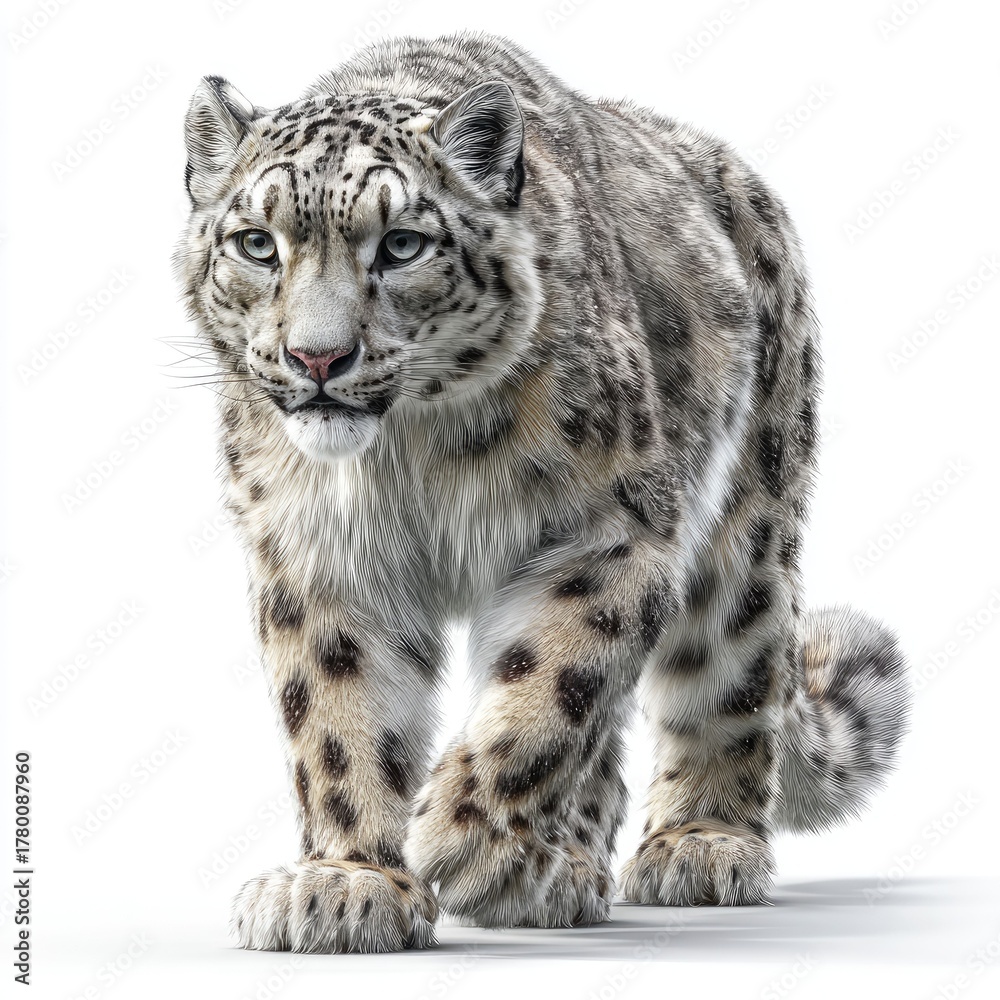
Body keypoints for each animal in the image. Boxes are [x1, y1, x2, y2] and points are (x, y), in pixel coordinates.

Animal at [173, 30, 910, 953]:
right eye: (257, 243)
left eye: (403, 245)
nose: (319, 358)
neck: (405, 457)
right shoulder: (320, 556)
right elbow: (339, 718)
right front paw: (348, 883)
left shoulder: (609, 532)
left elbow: (549, 687)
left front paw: (464, 840)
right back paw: (565, 865)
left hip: (747, 525)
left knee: (726, 670)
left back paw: (693, 846)